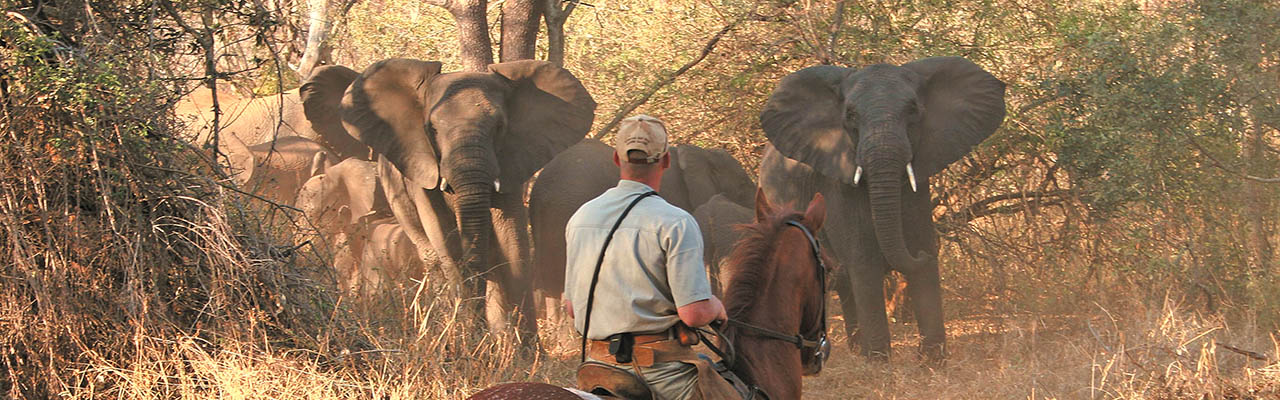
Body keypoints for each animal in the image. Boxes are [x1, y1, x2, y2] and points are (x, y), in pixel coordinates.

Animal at [302, 59, 596, 341]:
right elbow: (446, 239)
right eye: (431, 129)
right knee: (432, 256)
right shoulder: (421, 168)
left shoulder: (512, 160)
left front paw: (525, 351)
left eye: (500, 127)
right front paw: (474, 343)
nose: (479, 332)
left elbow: (512, 243)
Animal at [752, 54, 1003, 361]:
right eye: (850, 116)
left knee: (843, 280)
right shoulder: (839, 183)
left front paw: (932, 361)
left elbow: (922, 252)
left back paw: (855, 349)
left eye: (913, 110)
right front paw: (880, 364)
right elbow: (864, 260)